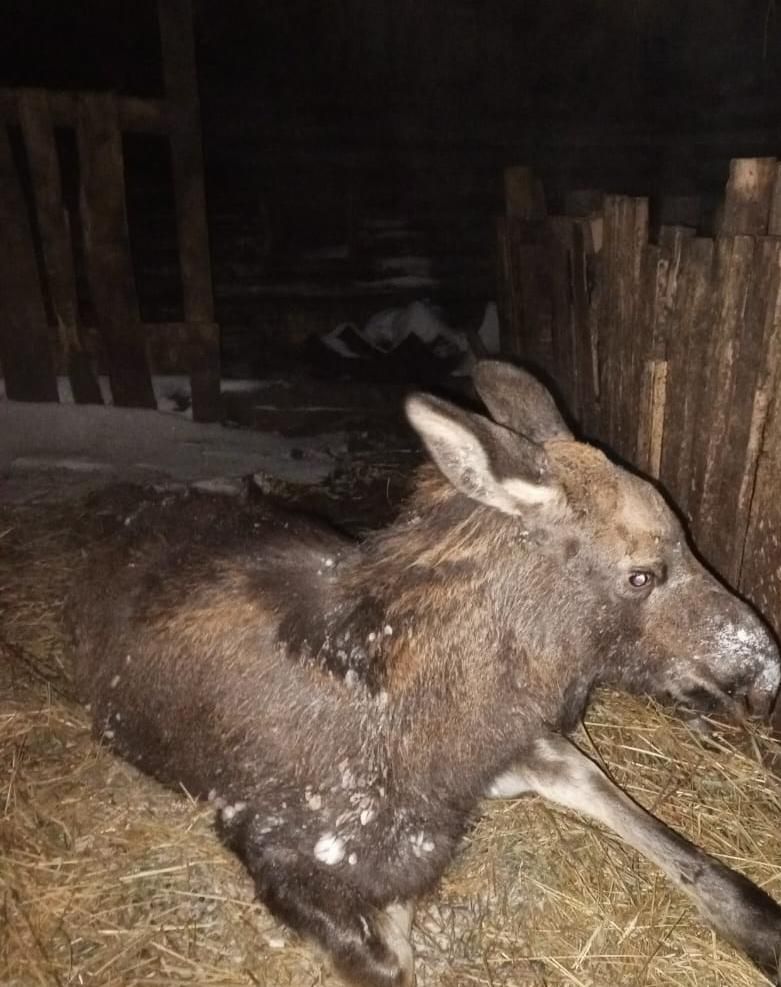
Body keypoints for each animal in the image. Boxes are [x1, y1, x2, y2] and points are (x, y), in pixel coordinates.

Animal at [68, 364, 780, 987]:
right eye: (641, 574)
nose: (766, 673)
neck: (447, 736)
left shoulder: (530, 745)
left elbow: (664, 837)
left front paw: (764, 931)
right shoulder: (266, 839)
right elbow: (393, 947)